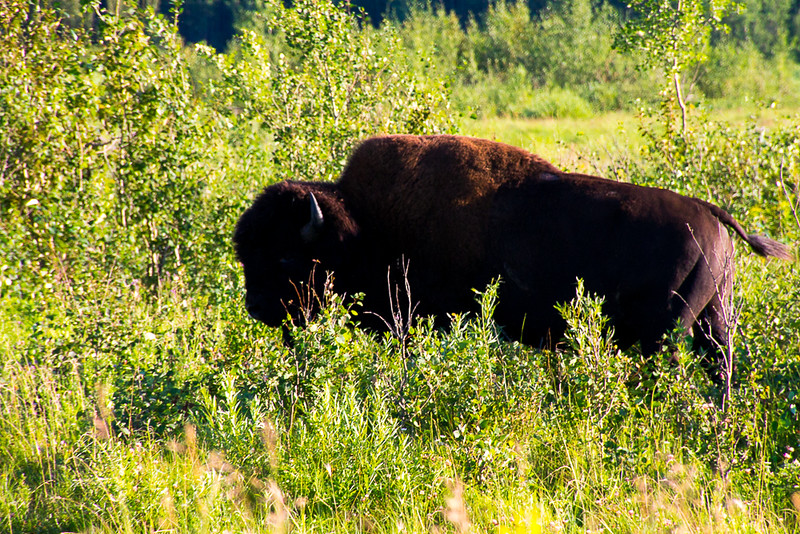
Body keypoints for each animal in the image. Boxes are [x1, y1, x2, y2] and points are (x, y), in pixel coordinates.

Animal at [233, 134, 792, 384]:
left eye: (286, 257)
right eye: (244, 253)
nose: (255, 306)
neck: (363, 226)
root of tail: (708, 211)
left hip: (668, 333)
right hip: (715, 322)